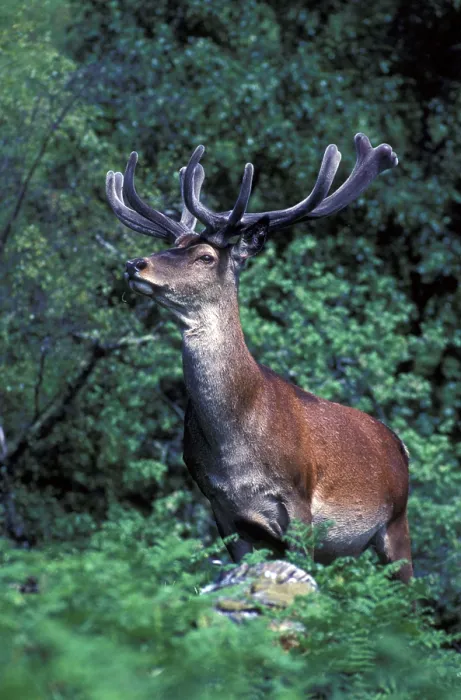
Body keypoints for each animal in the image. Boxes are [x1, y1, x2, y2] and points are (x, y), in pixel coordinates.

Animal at [106, 133, 413, 582]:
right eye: (173, 245)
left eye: (205, 257)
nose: (134, 264)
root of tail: (400, 447)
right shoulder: (221, 509)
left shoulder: (299, 501)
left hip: (396, 524)